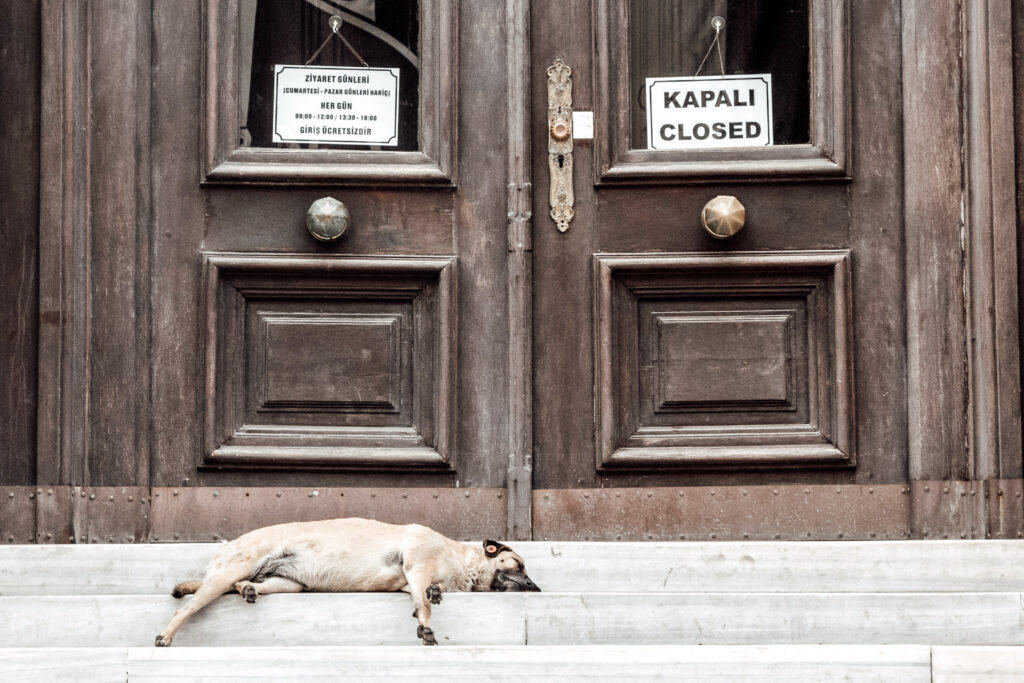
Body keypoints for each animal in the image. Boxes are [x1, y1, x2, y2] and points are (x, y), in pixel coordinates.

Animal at [155, 518, 540, 647]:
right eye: (519, 565)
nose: (535, 588)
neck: (460, 562)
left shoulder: (411, 581)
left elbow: (424, 595)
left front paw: (433, 595)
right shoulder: (417, 564)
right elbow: (425, 603)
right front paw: (427, 624)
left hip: (289, 583)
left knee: (249, 585)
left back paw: (250, 589)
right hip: (232, 569)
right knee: (188, 607)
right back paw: (167, 634)